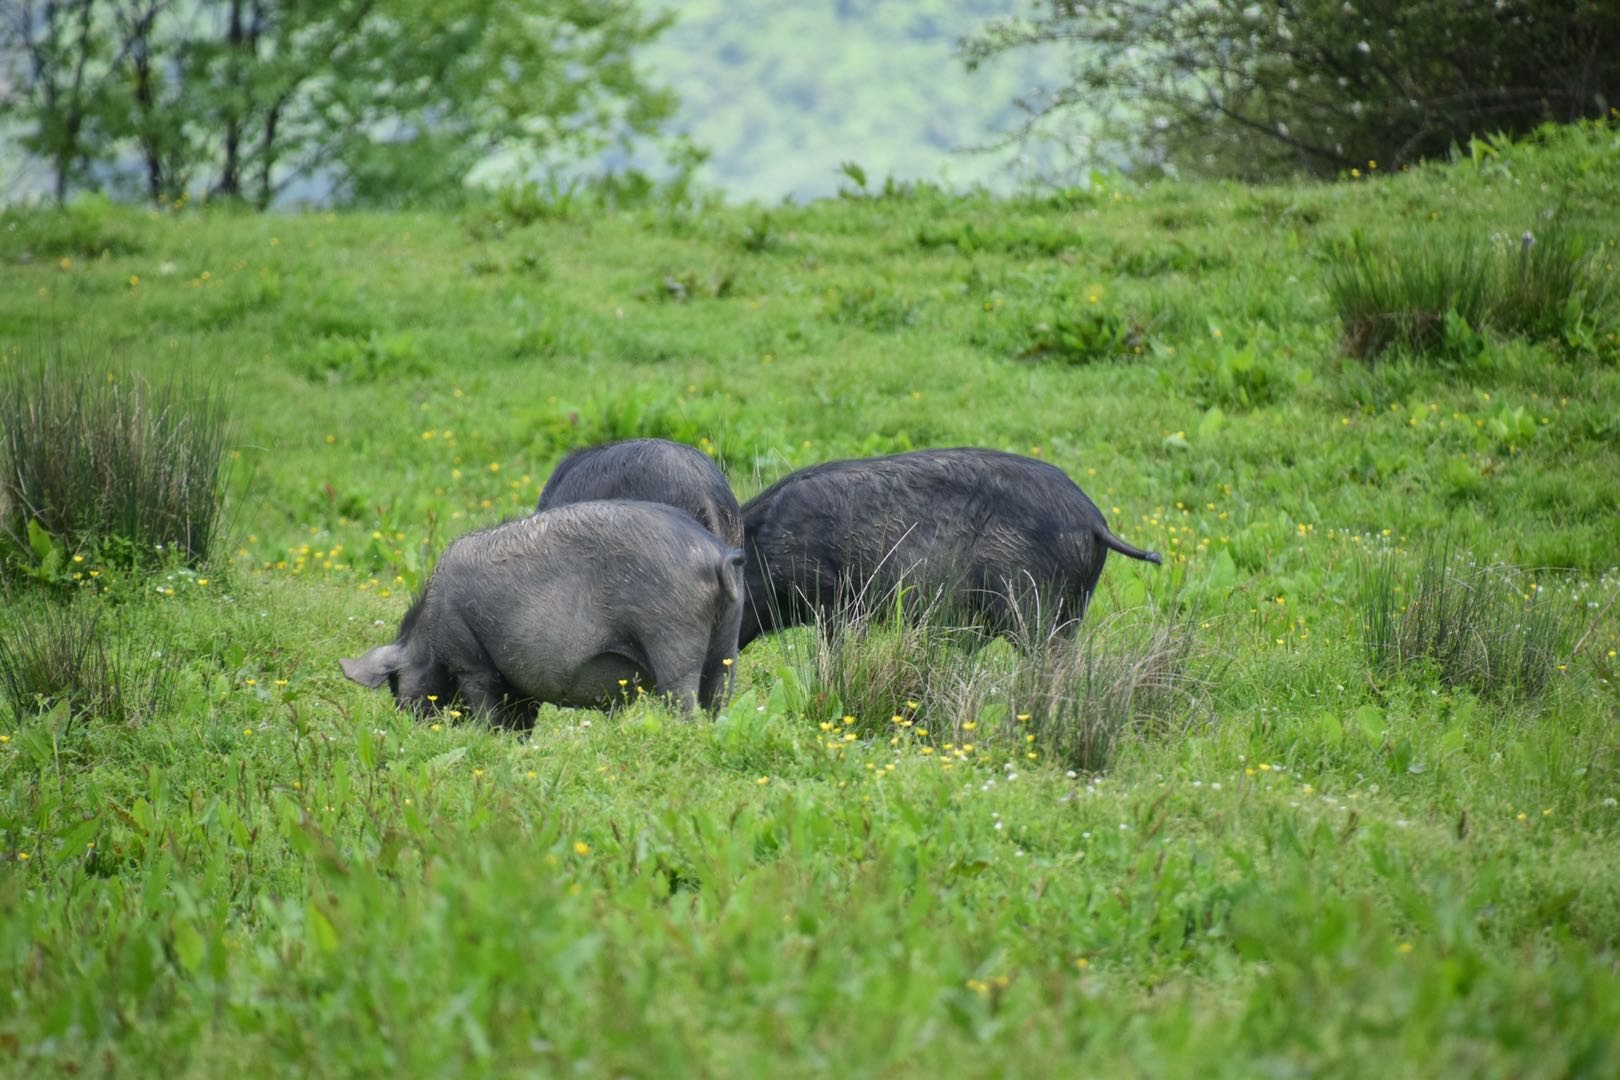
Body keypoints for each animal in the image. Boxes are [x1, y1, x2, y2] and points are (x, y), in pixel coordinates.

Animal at [345, 501, 748, 725]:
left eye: (396, 684)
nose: (410, 730)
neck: (427, 634)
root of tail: (715, 555)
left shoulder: (468, 658)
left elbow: (486, 706)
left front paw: (485, 737)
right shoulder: (521, 685)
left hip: (671, 635)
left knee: (684, 701)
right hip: (726, 641)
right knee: (719, 698)